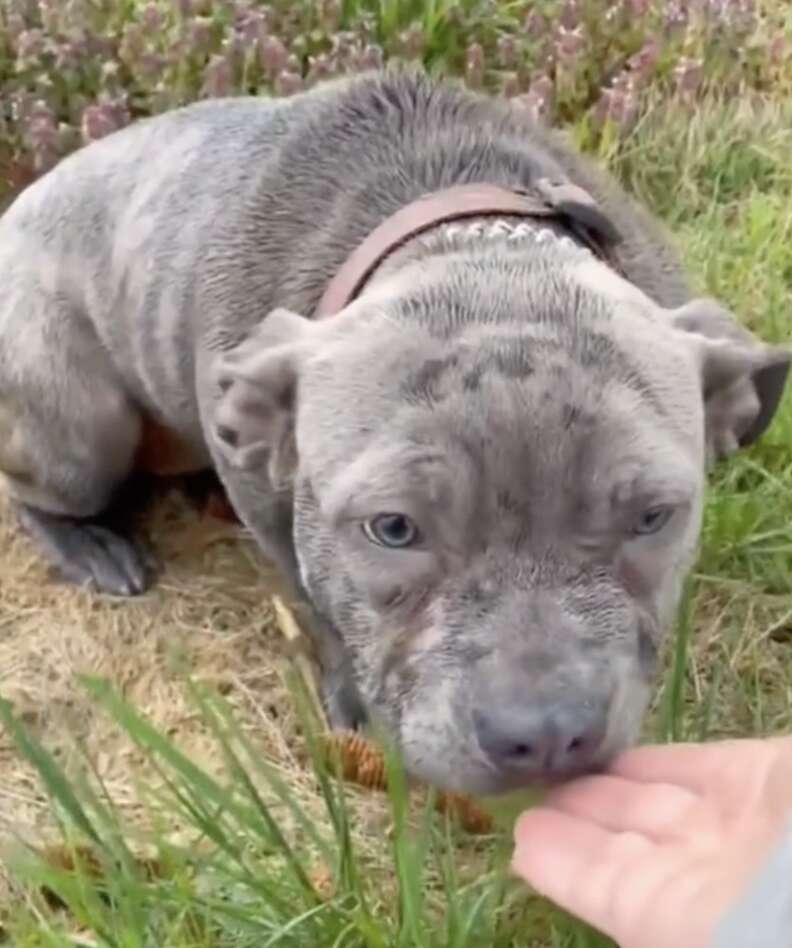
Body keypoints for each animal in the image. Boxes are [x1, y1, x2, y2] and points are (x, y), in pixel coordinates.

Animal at [1, 66, 792, 796]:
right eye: (393, 529)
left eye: (654, 517)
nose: (543, 737)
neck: (468, 233)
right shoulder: (276, 514)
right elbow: (313, 597)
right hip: (80, 420)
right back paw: (91, 545)